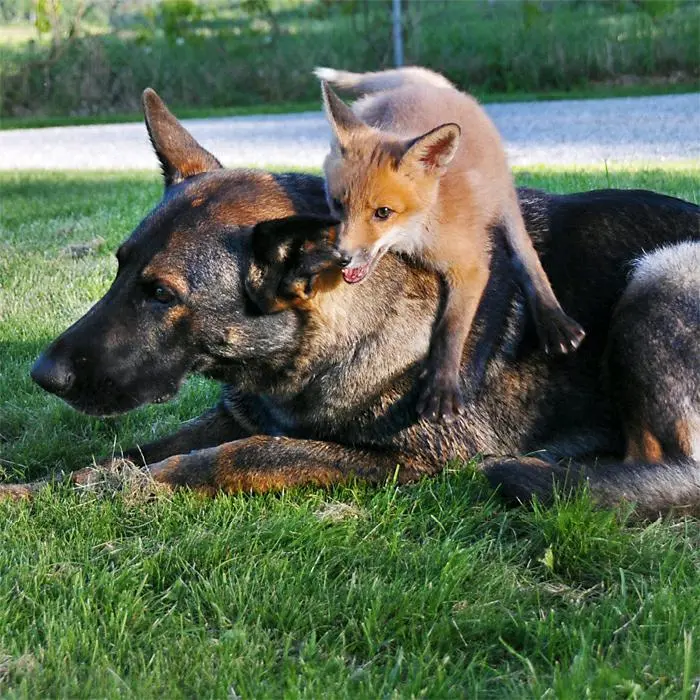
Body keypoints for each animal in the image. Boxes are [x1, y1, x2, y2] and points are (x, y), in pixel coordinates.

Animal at [5, 87, 700, 516]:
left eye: (161, 293)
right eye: (121, 269)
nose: (42, 375)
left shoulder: (416, 458)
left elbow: (240, 454)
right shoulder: (237, 413)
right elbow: (130, 452)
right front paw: (47, 488)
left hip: (660, 270)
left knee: (663, 464)